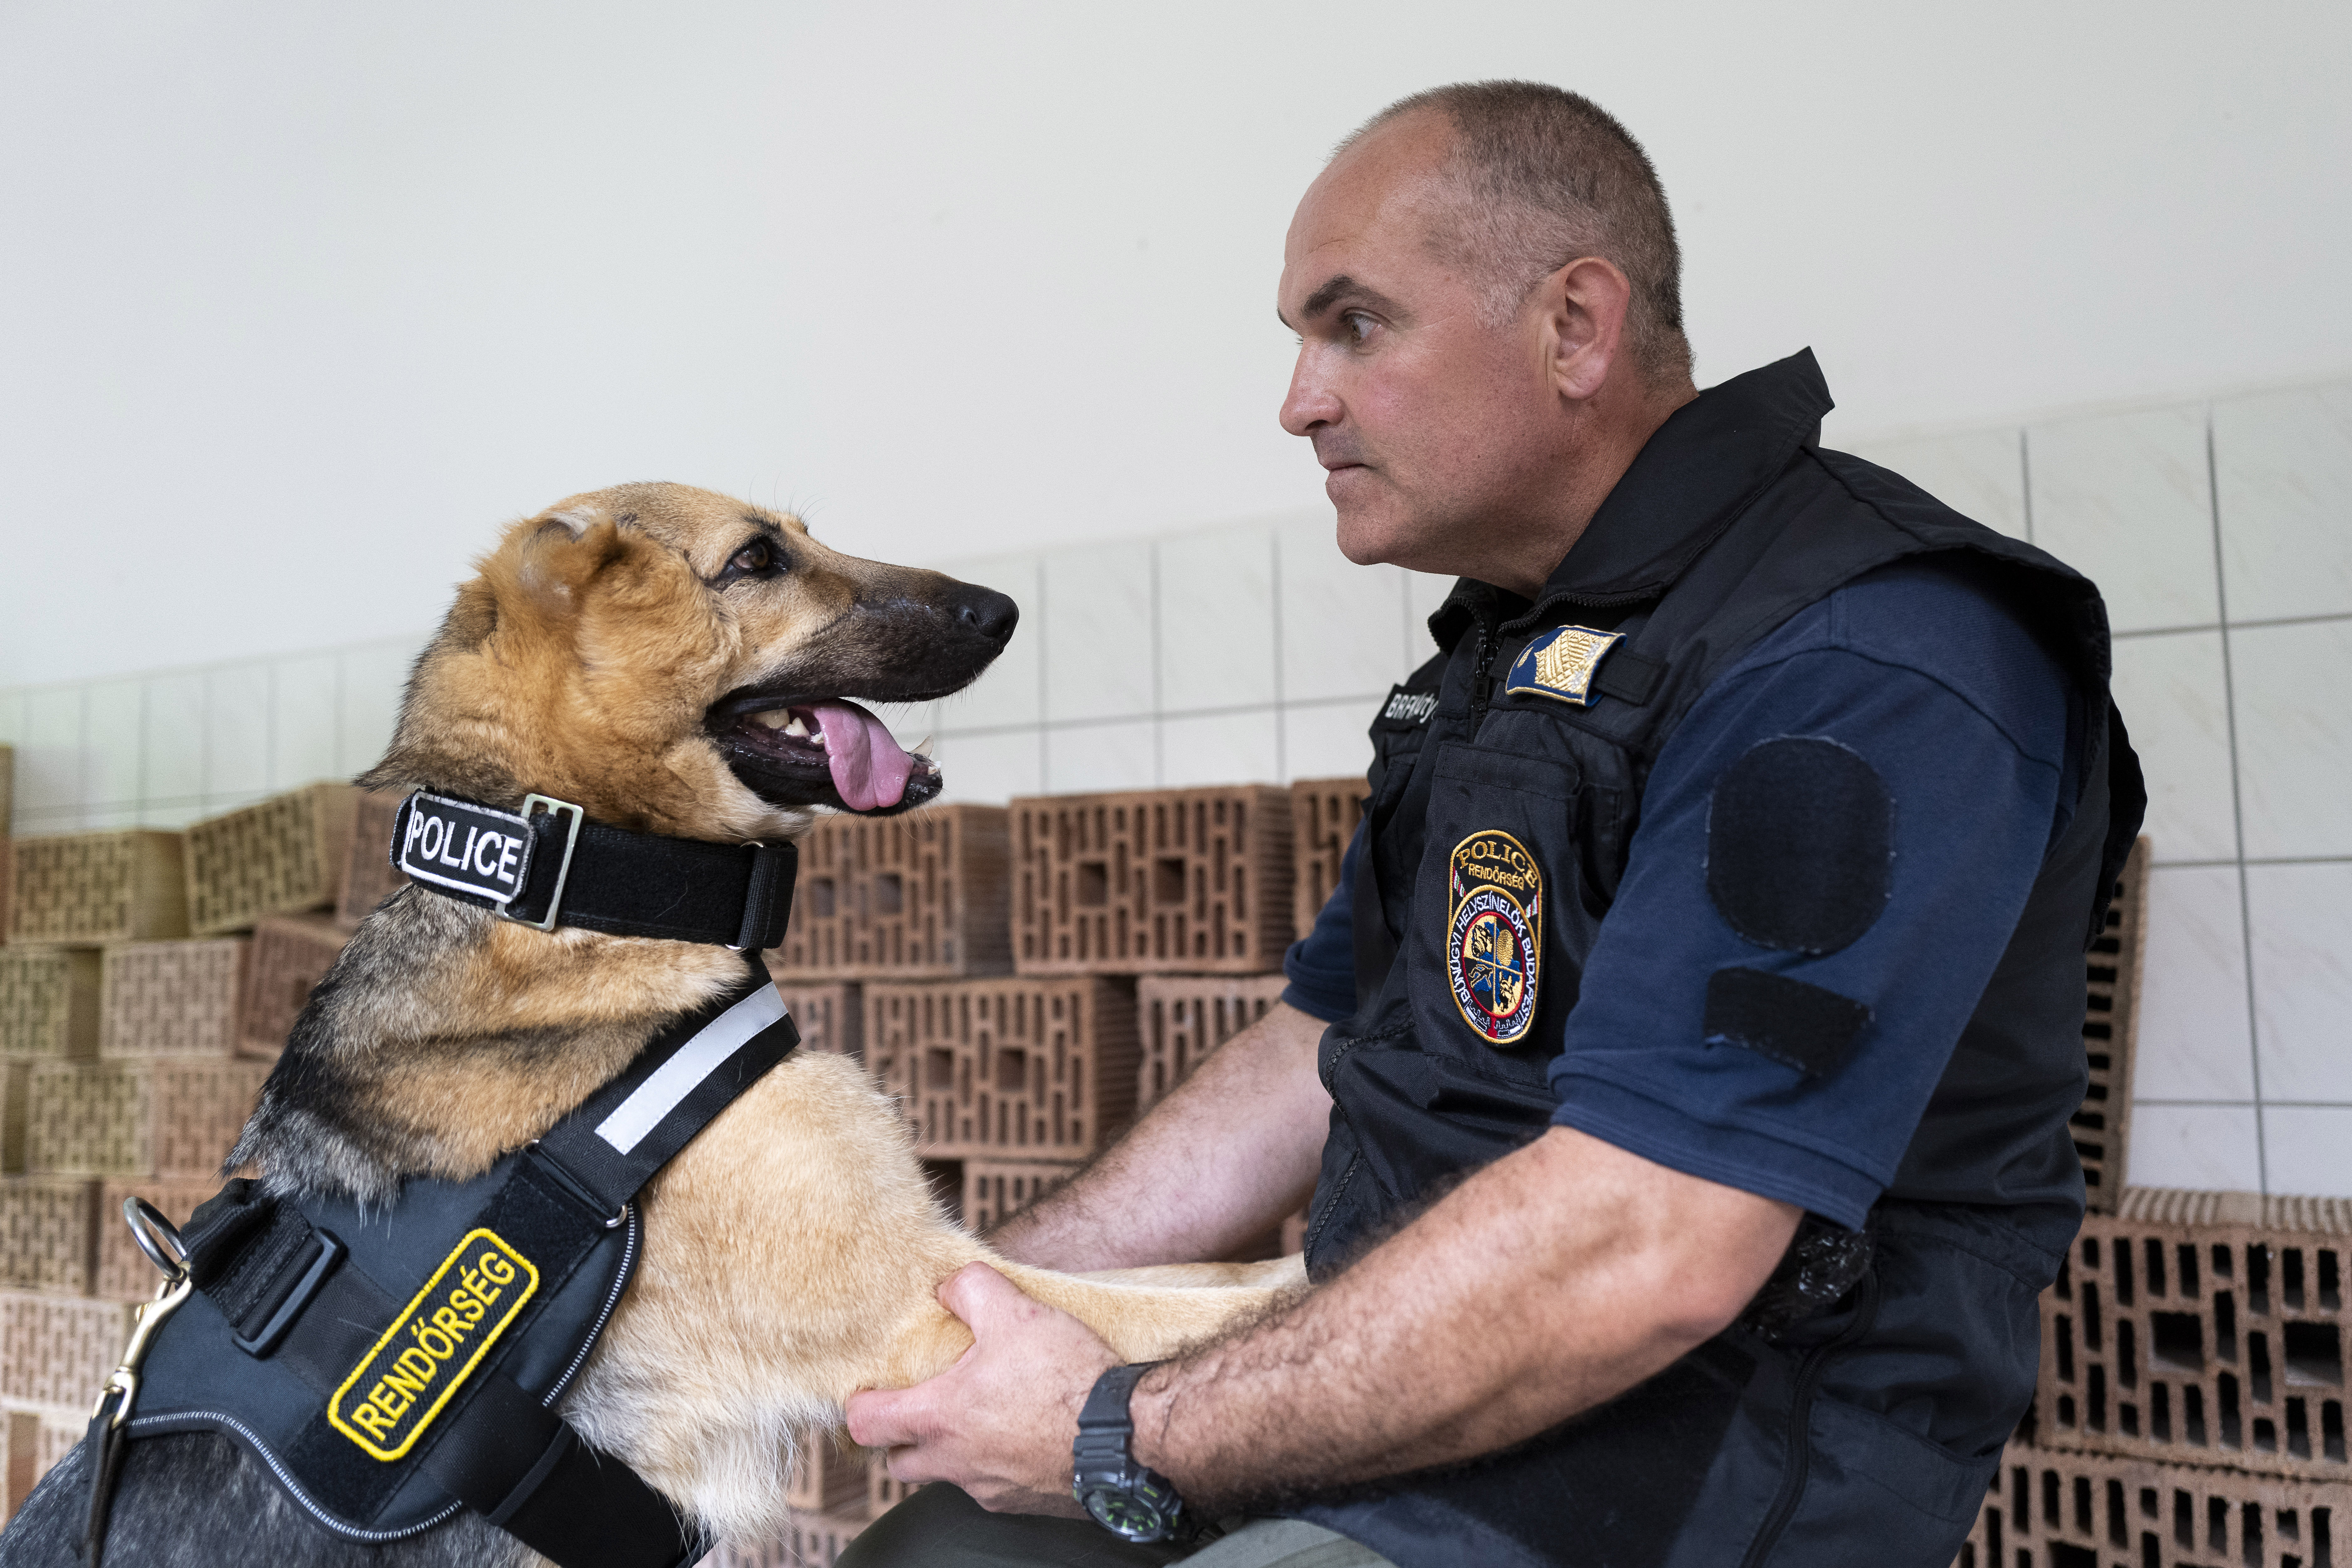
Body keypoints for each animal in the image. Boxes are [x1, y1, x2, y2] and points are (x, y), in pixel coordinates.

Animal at [0, 484, 1298, 1561]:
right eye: (757, 559)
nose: (1001, 610)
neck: (571, 898)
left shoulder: (948, 1260)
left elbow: (1203, 1277)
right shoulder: (918, 1301)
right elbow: (1203, 1304)